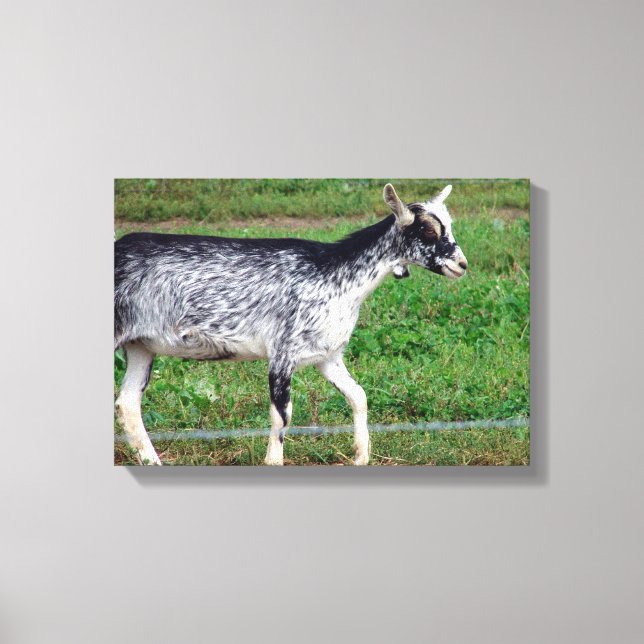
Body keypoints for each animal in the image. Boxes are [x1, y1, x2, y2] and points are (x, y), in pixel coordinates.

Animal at [114, 183, 468, 465]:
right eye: (428, 231)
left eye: (448, 227)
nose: (462, 264)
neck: (334, 274)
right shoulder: (282, 353)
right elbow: (282, 415)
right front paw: (273, 462)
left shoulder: (327, 356)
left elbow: (359, 395)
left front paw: (361, 456)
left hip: (141, 346)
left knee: (127, 403)